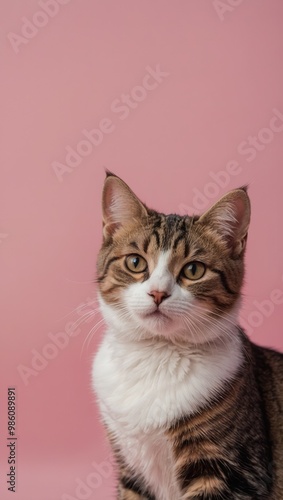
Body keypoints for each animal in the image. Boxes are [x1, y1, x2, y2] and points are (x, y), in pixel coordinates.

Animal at [92, 173, 283, 500]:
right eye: (135, 262)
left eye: (193, 270)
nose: (158, 293)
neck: (155, 355)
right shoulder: (132, 471)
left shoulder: (233, 470)